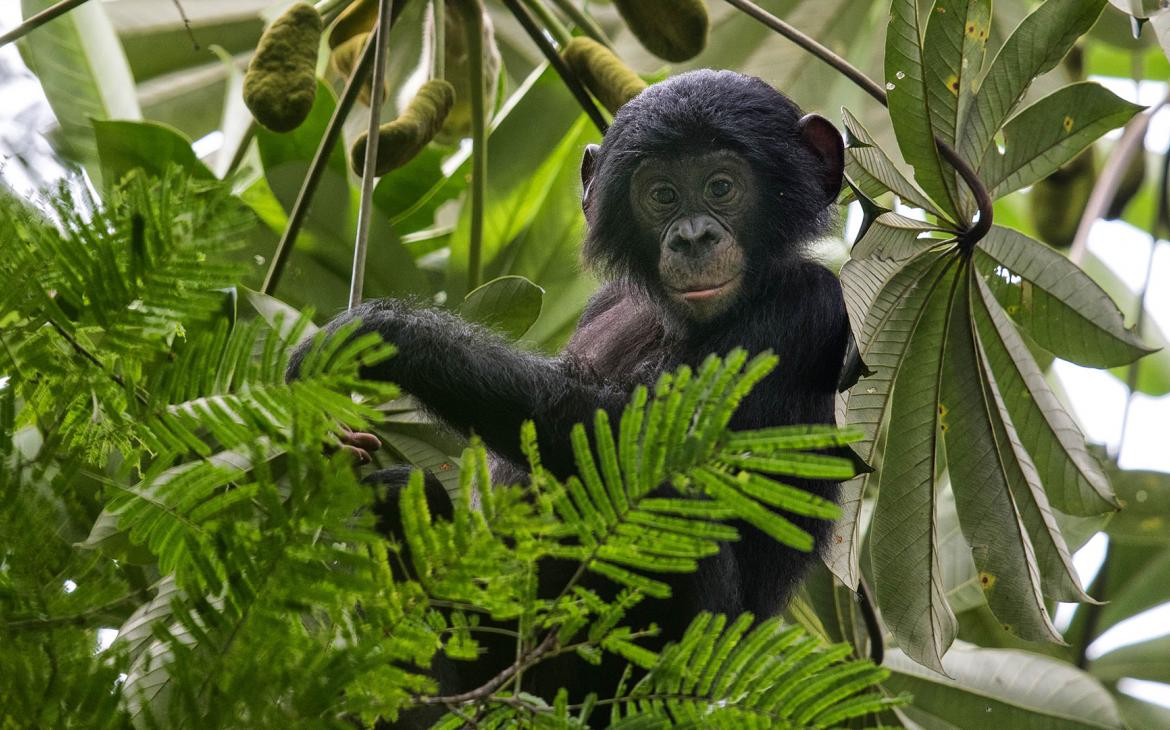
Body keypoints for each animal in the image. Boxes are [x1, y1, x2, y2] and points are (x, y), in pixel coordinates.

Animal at [287, 68, 847, 720]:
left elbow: (652, 446)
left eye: (722, 186)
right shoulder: (603, 305)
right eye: (661, 195)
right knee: (404, 494)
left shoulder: (805, 309)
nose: (693, 236)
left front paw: (382, 335)